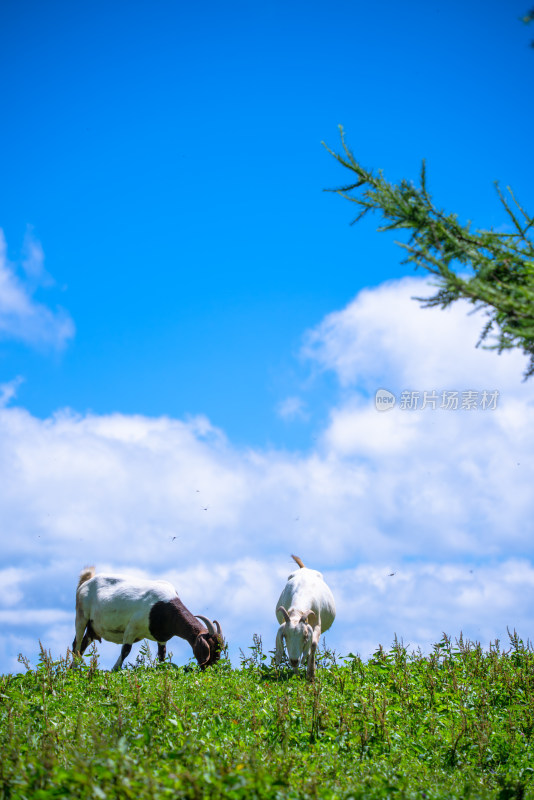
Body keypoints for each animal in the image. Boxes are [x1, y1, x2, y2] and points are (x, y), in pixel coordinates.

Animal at [72, 564, 223, 672]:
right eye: (211, 648)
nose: (211, 670)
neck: (164, 607)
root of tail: (86, 582)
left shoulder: (162, 638)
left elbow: (162, 656)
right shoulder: (132, 628)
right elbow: (125, 650)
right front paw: (115, 669)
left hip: (93, 627)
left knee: (84, 643)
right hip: (81, 616)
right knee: (76, 643)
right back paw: (72, 670)